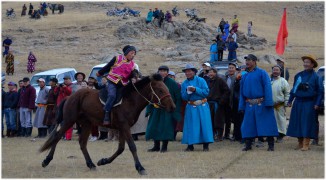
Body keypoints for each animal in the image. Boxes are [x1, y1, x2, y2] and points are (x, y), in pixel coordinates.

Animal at [39, 74, 176, 175]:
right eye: (160, 90)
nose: (172, 107)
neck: (130, 100)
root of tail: (70, 97)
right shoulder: (124, 126)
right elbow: (132, 146)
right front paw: (140, 168)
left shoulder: (122, 128)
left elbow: (121, 148)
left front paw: (103, 161)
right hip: (69, 120)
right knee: (57, 137)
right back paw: (46, 160)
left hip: (87, 124)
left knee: (82, 143)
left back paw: (91, 164)